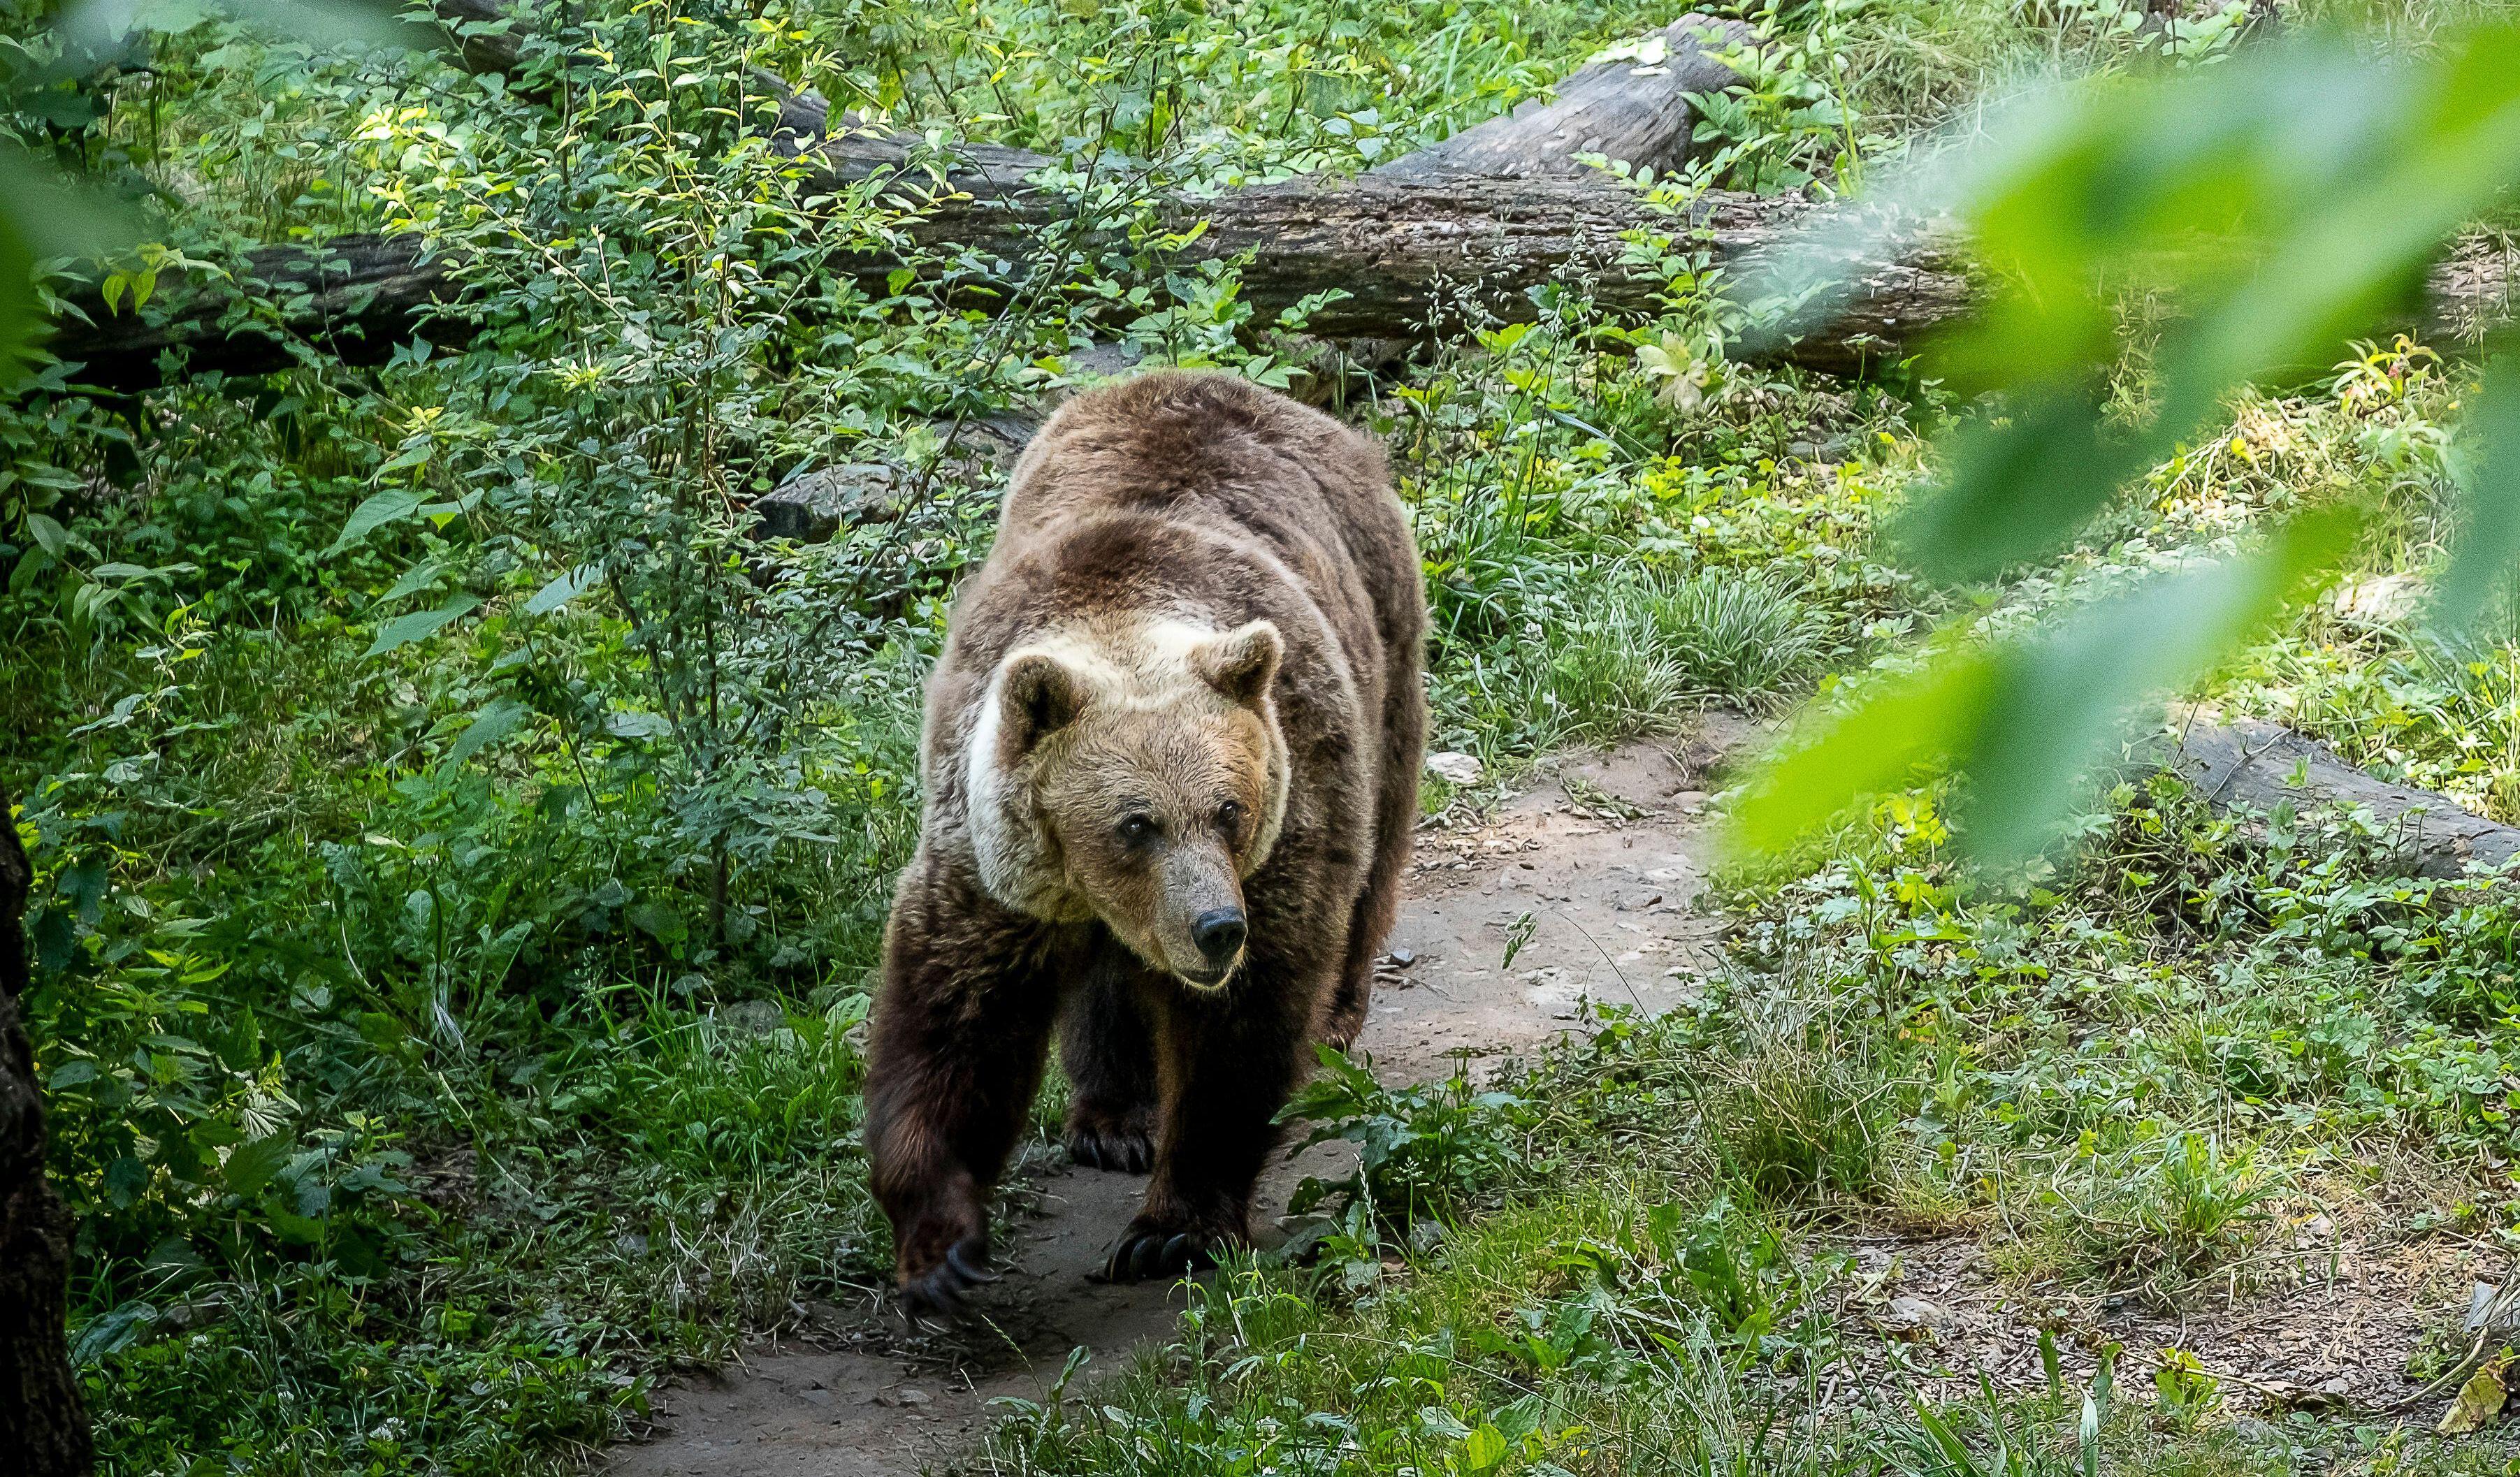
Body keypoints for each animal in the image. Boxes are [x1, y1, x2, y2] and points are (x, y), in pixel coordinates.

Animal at [861, 370, 1426, 1314]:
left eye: (1230, 809)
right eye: (1136, 822)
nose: (1216, 928)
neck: (1120, 617)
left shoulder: (1293, 801)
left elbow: (1243, 1026)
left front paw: (1172, 1230)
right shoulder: (993, 860)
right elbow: (955, 1022)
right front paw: (939, 1247)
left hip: (1385, 641)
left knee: (1378, 846)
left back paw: (1338, 1015)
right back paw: (1114, 1116)